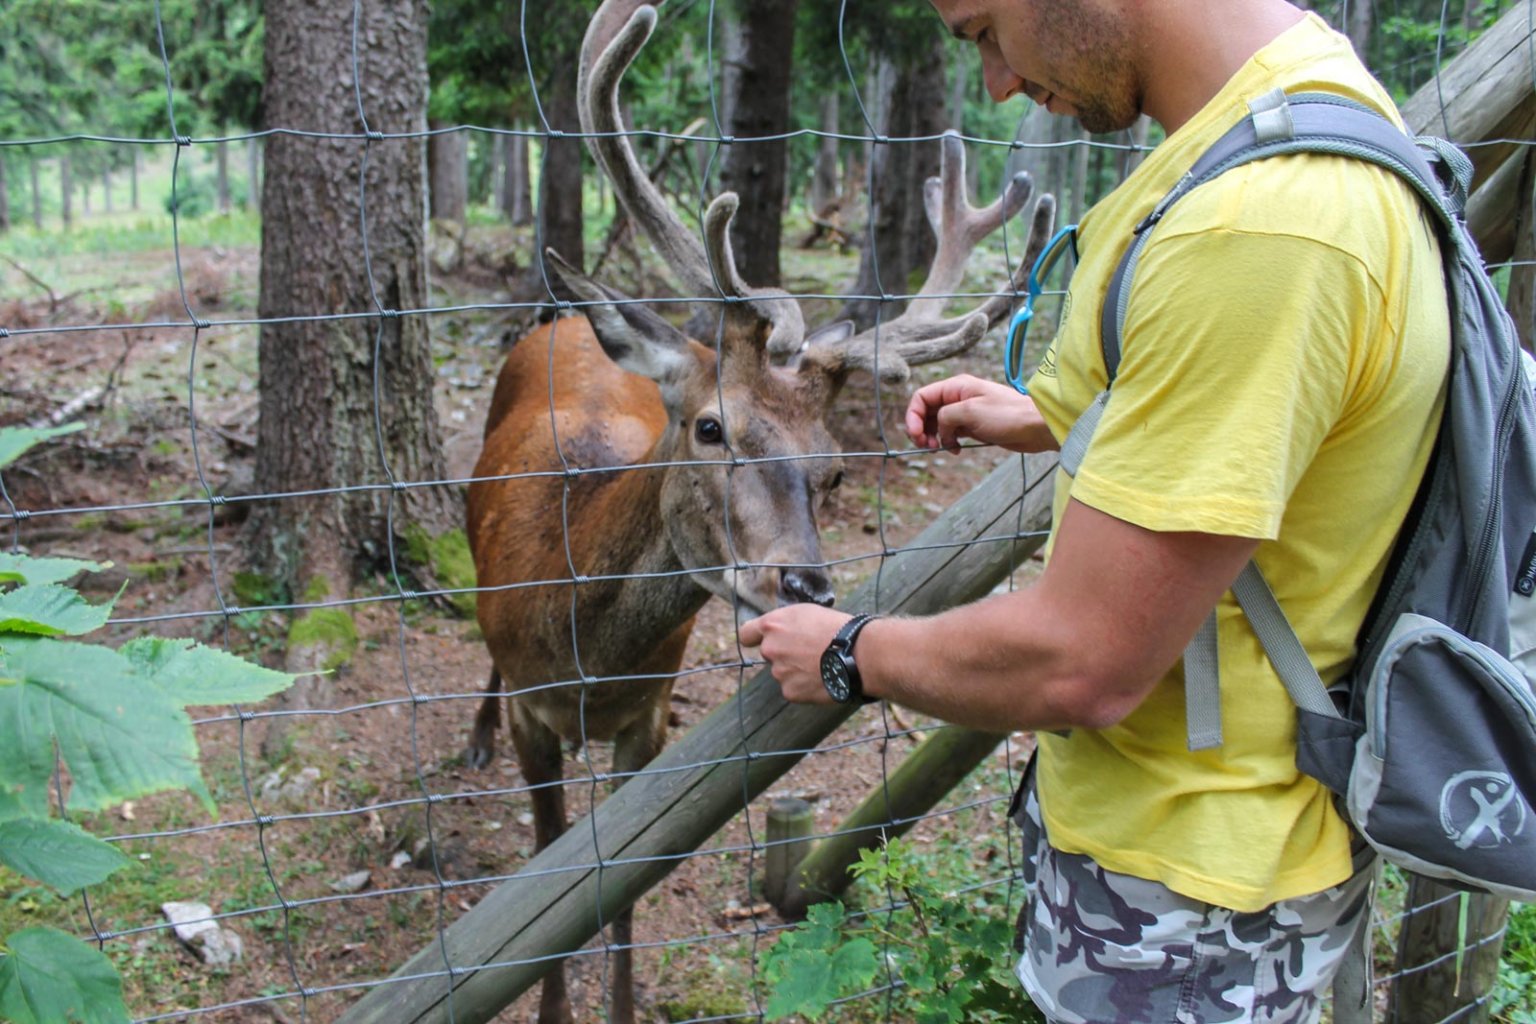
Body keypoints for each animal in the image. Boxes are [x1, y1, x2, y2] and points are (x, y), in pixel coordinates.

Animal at [460, 2, 1050, 1019]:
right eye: (710, 426)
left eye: (837, 472)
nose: (804, 582)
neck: (582, 655)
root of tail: (569, 319)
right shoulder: (541, 717)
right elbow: (544, 890)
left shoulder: (649, 716)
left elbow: (617, 903)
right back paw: (474, 737)